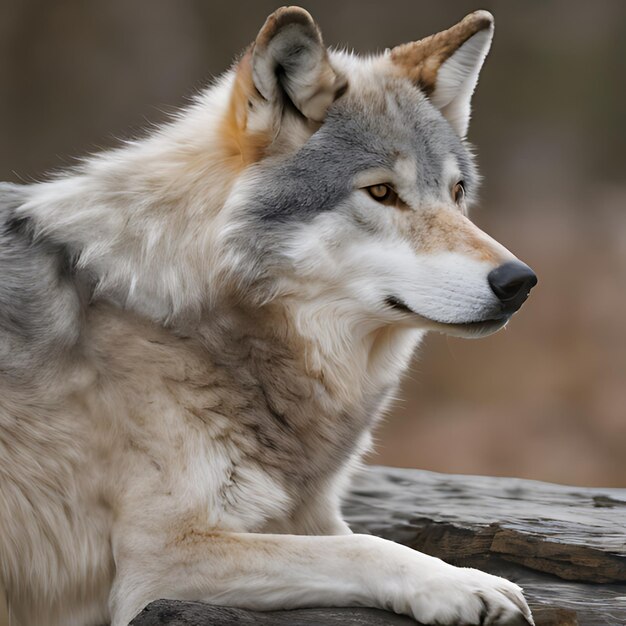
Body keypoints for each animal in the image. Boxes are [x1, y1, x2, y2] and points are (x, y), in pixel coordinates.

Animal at [0, 6, 536, 624]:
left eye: (457, 191)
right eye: (381, 192)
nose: (518, 281)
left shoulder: (311, 514)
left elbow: (370, 538)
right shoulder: (162, 560)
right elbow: (366, 547)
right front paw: (462, 585)